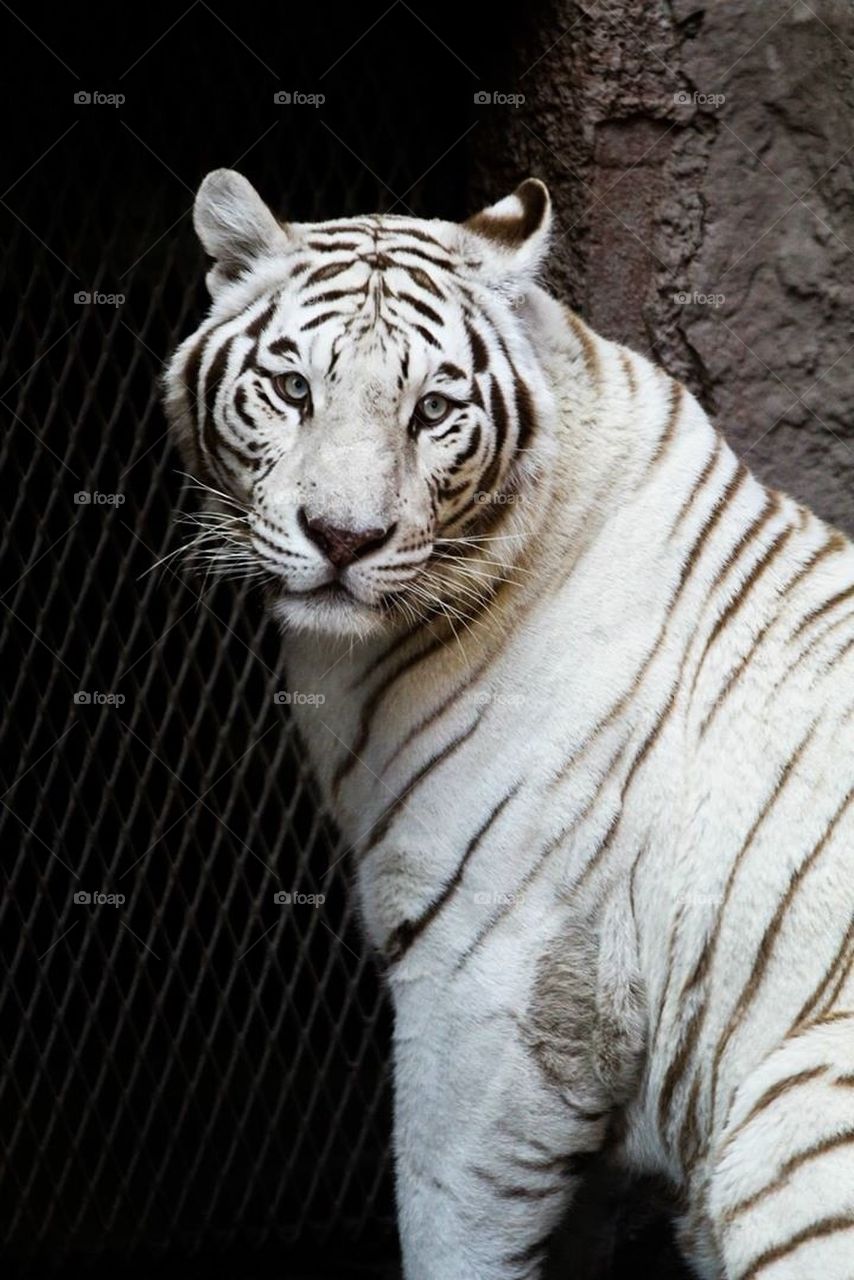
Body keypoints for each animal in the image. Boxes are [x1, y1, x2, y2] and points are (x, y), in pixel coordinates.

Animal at [163, 167, 854, 1279]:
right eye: (294, 388)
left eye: (433, 409)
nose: (343, 538)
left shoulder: (493, 983)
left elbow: (451, 1225)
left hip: (794, 1120)